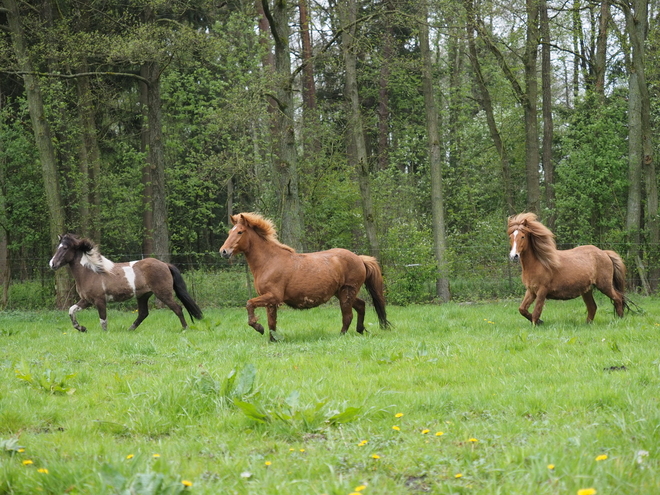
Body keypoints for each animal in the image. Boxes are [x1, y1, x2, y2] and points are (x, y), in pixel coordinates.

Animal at [50, 235, 201, 334]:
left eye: (65, 248)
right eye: (58, 247)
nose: (52, 264)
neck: (91, 272)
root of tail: (165, 264)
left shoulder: (99, 300)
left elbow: (103, 320)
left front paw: (103, 334)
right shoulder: (87, 300)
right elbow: (71, 310)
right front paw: (82, 328)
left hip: (163, 294)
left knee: (178, 308)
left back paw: (185, 329)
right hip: (143, 295)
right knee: (143, 313)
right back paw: (130, 329)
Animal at [219, 211, 390, 342]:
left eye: (240, 232)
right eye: (229, 232)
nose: (224, 252)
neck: (269, 261)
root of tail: (360, 259)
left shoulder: (273, 296)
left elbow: (249, 304)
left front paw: (258, 327)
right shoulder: (270, 301)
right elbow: (271, 322)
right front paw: (273, 340)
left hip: (346, 293)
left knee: (347, 316)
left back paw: (342, 335)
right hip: (342, 293)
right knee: (361, 305)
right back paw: (360, 330)